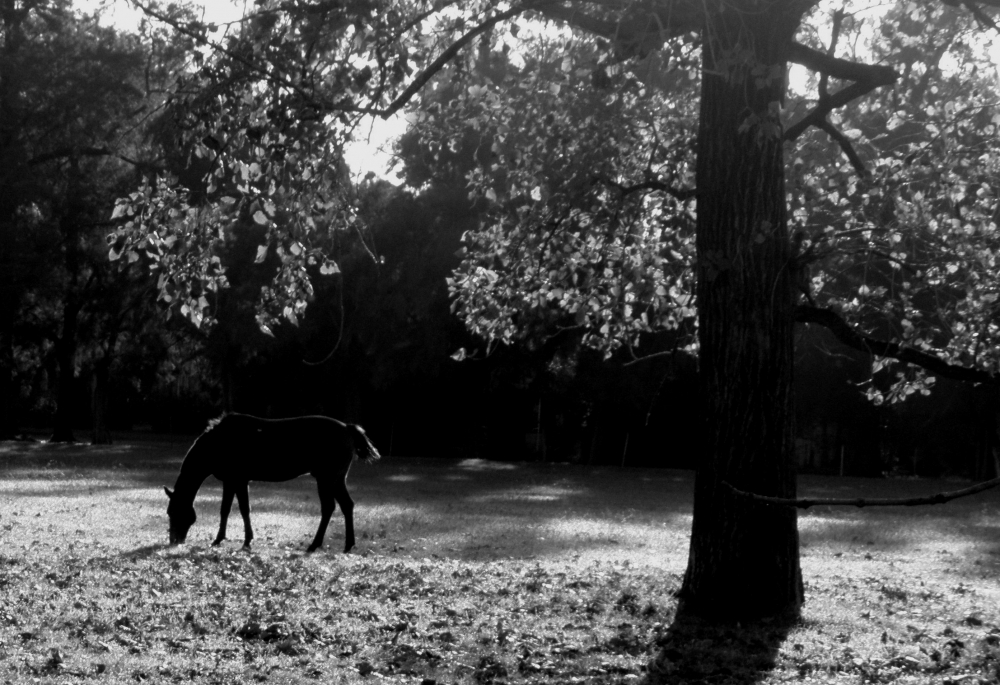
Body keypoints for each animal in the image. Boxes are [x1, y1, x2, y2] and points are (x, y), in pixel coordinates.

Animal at [164, 412, 382, 552]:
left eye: (174, 512)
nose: (174, 541)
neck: (218, 443)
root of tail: (348, 429)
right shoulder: (233, 481)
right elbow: (227, 509)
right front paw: (221, 539)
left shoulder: (238, 480)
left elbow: (242, 509)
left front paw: (243, 541)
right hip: (336, 479)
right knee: (347, 505)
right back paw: (348, 545)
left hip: (326, 478)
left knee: (329, 507)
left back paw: (314, 544)